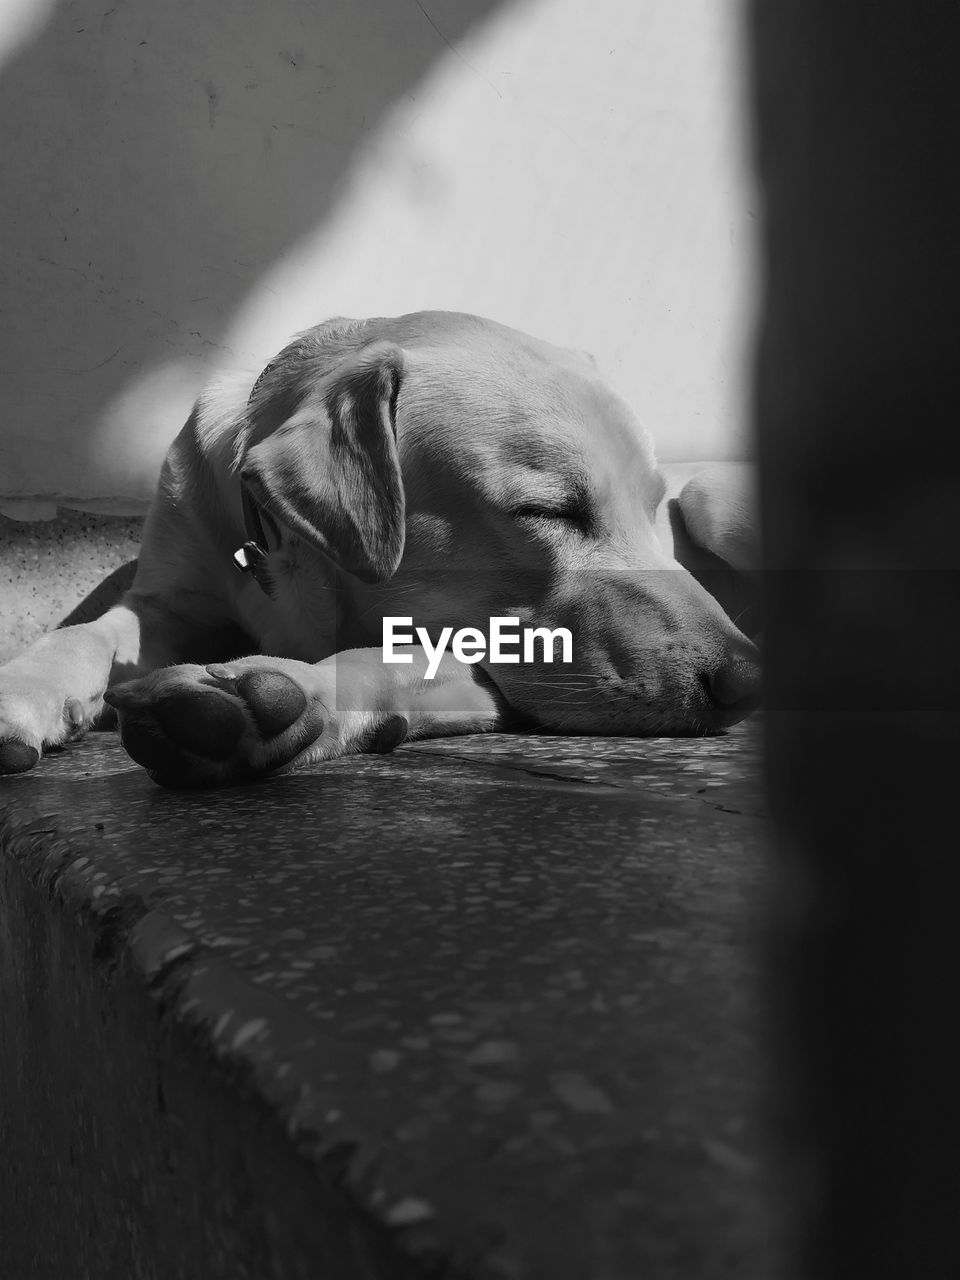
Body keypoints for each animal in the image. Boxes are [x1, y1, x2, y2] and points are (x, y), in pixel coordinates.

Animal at [0, 312, 757, 788]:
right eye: (546, 511)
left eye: (654, 508)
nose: (745, 681)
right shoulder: (169, 598)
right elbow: (85, 634)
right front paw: (21, 690)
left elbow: (379, 661)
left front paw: (268, 704)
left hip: (712, 496)